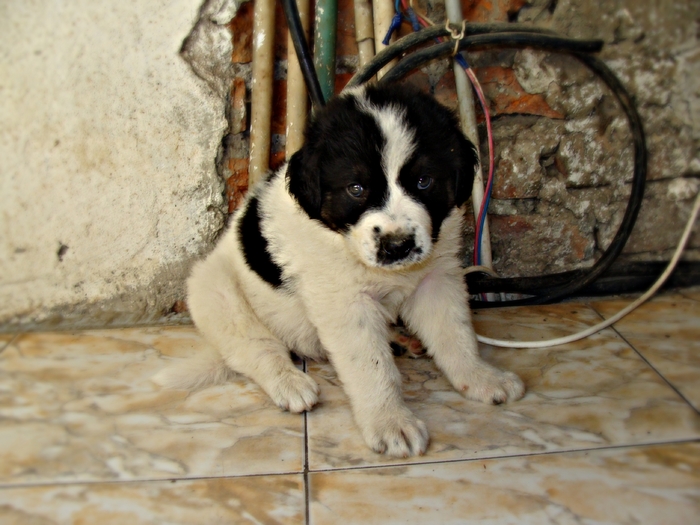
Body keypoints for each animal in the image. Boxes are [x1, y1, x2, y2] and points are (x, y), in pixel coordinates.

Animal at [156, 84, 524, 456]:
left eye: (424, 181)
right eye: (356, 188)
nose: (397, 245)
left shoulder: (437, 278)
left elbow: (456, 334)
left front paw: (480, 378)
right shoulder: (344, 301)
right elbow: (370, 366)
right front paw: (391, 423)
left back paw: (399, 340)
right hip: (215, 290)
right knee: (255, 346)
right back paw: (290, 382)